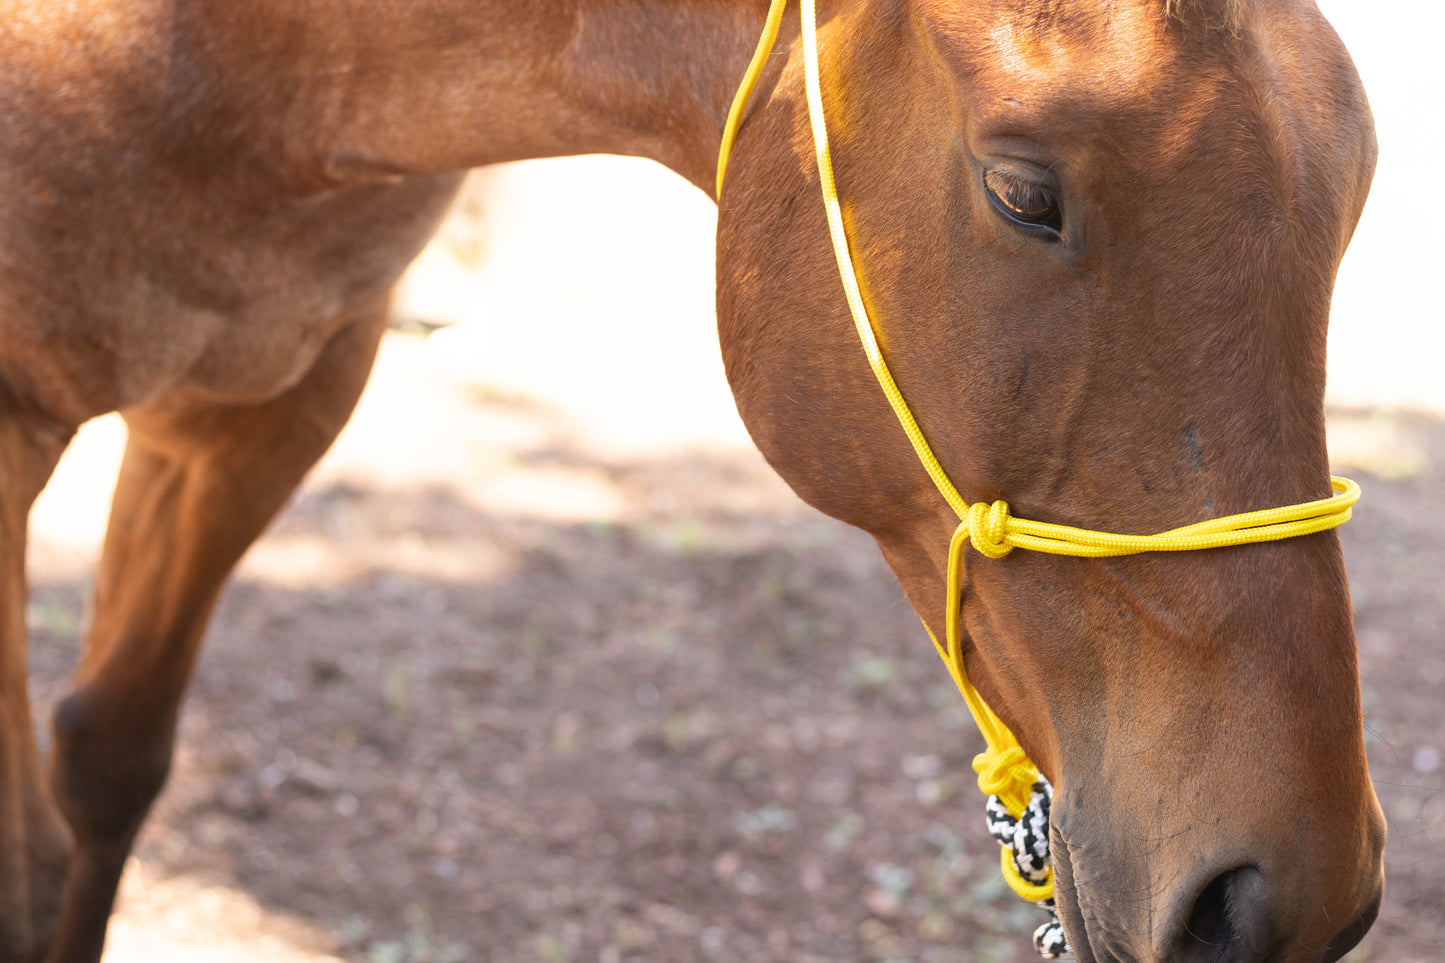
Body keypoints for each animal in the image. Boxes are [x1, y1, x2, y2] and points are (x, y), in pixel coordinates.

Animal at [0, 0, 1375, 954]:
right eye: (1021, 193)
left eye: (1355, 184)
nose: (1283, 896)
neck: (244, 64)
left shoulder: (274, 401)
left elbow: (110, 767)